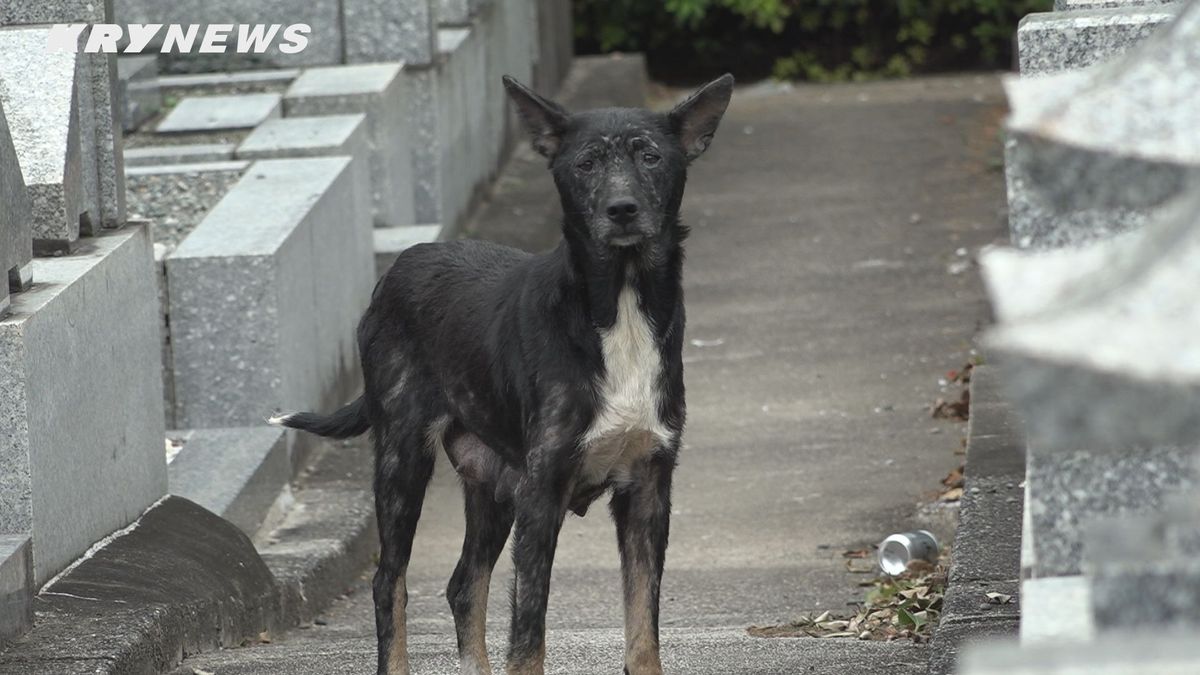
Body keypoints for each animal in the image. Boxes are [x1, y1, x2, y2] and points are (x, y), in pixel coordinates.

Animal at [274, 73, 729, 672]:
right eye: (585, 164)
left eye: (650, 156)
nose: (622, 209)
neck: (619, 302)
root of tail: (392, 271)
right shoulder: (542, 493)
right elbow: (529, 635)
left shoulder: (649, 490)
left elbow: (643, 633)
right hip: (403, 460)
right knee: (388, 581)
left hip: (492, 483)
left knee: (464, 585)